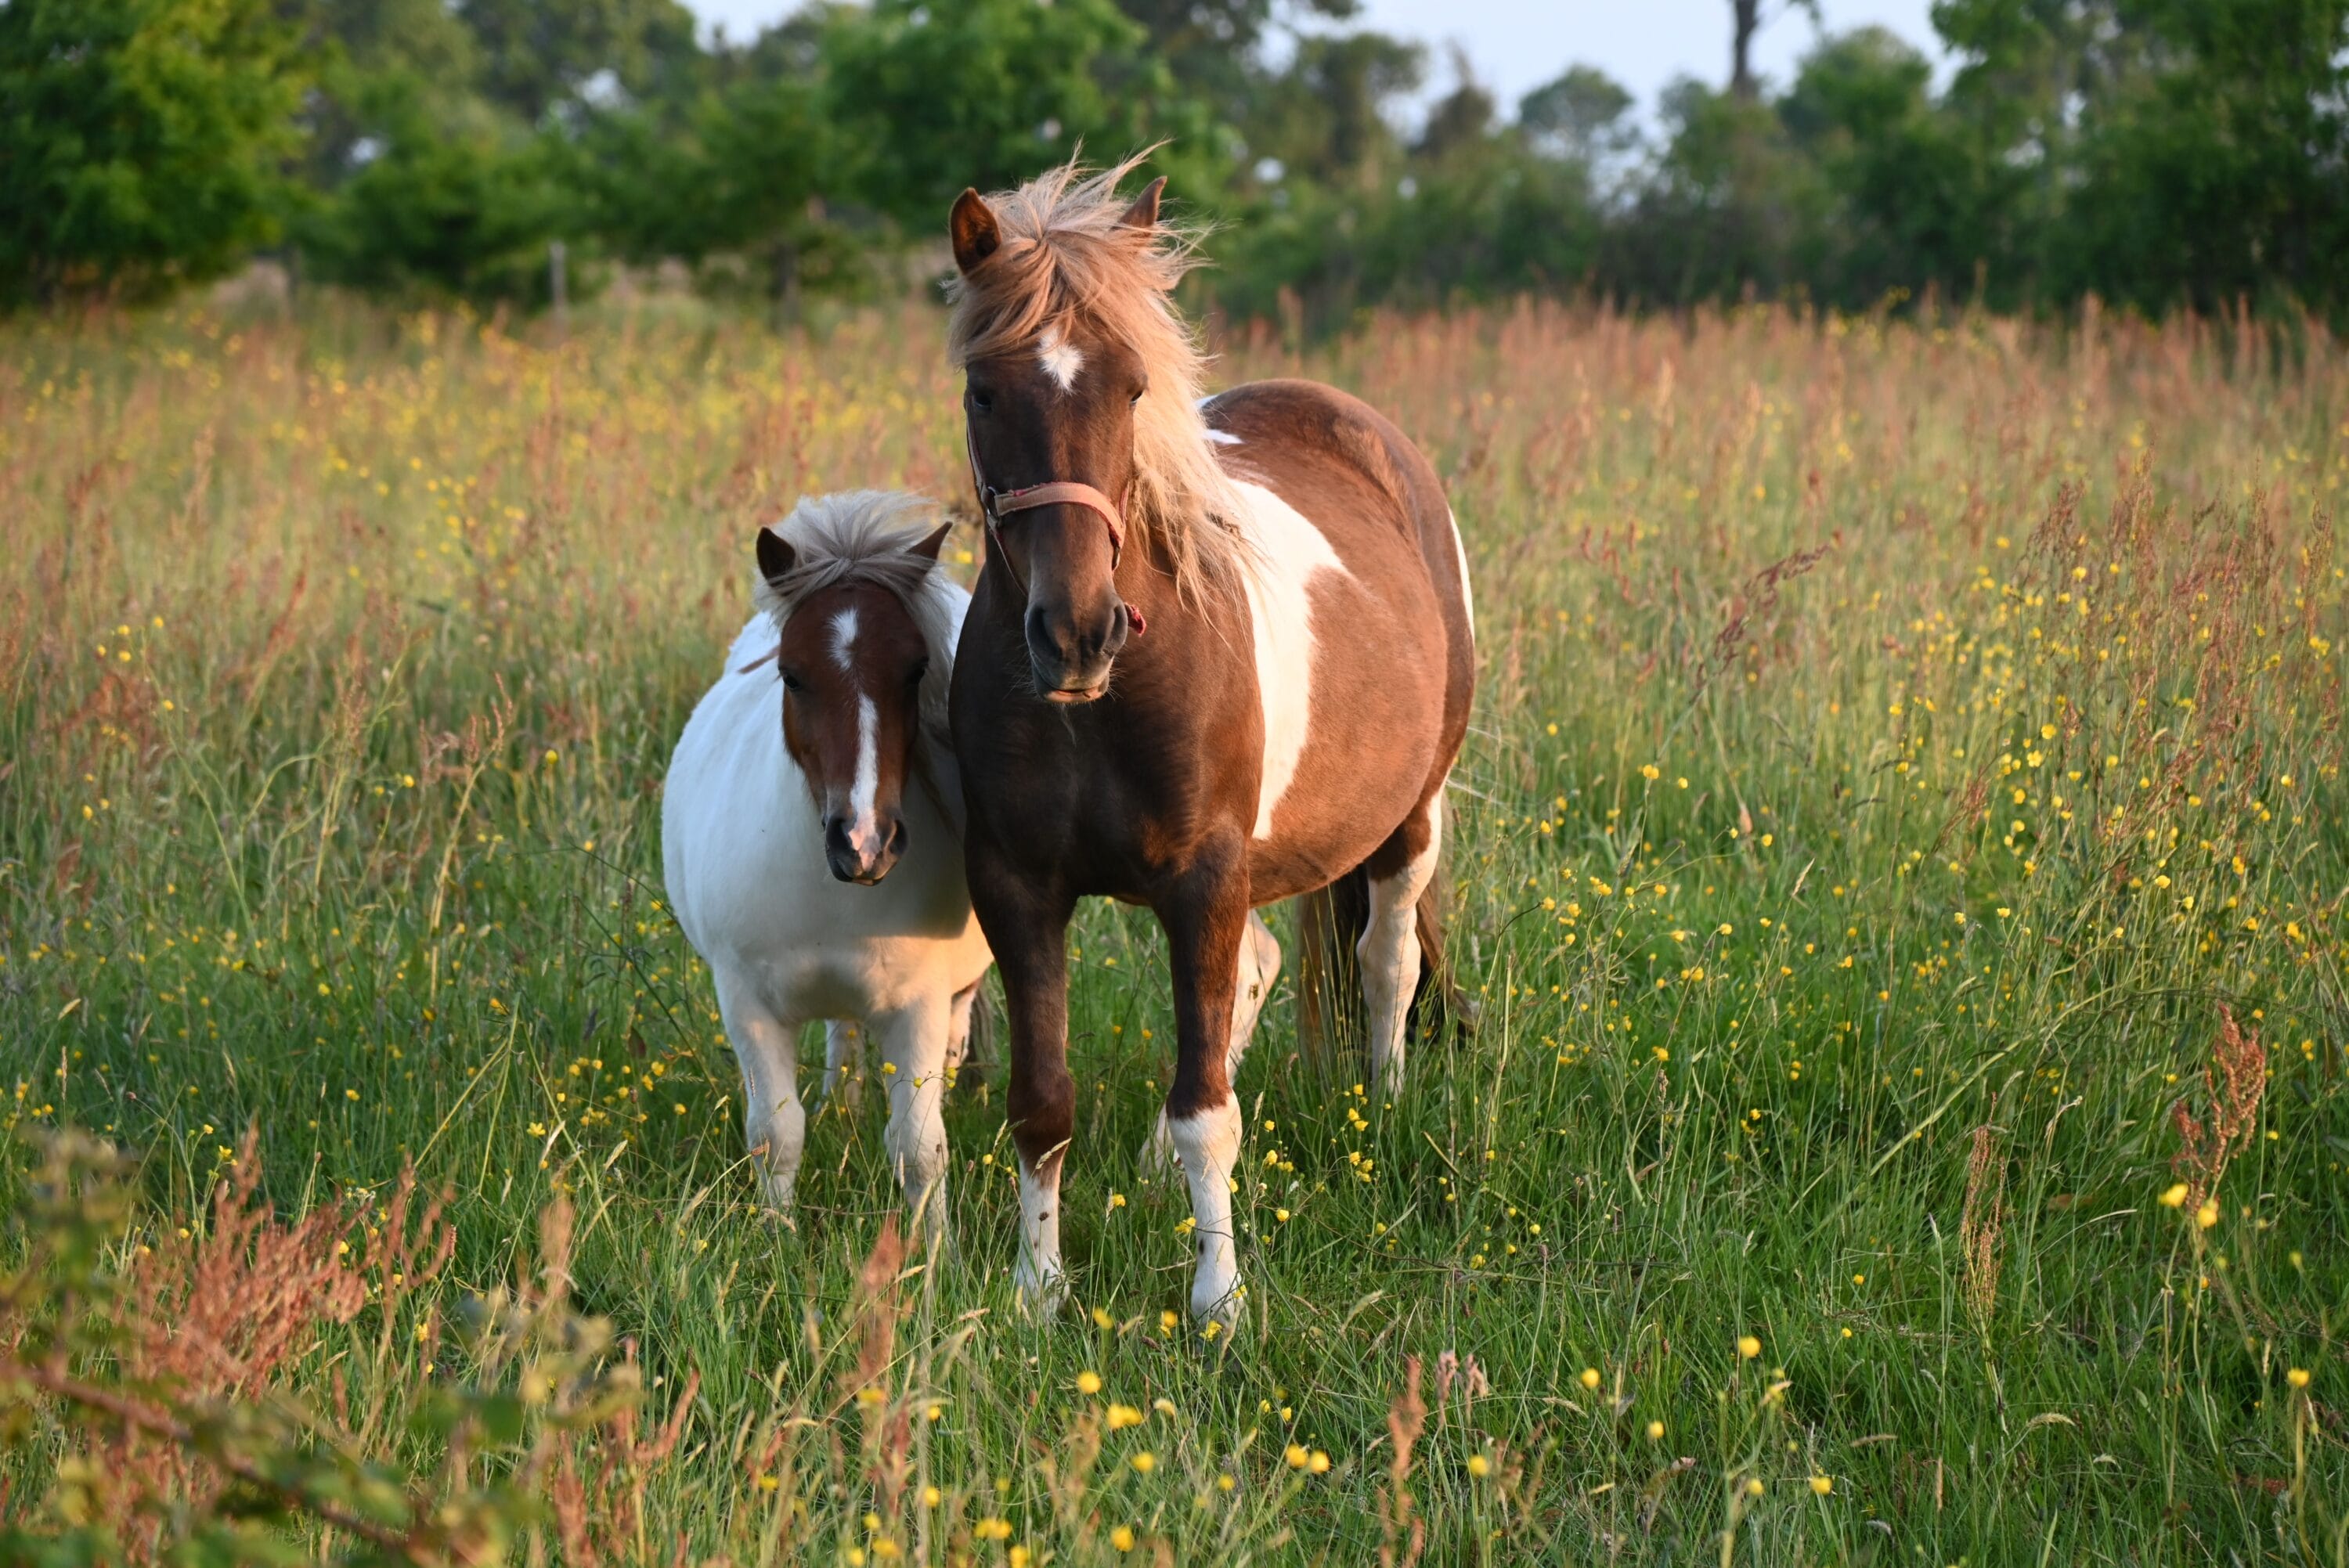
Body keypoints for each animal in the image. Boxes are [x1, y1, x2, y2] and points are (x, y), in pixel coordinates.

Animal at [663, 491, 994, 1253]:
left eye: (917, 668)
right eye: (792, 673)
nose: (864, 842)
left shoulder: (917, 1006)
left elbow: (918, 1145)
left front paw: (933, 1255)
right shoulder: (747, 1004)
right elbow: (776, 1134)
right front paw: (776, 1242)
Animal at [942, 160, 1475, 1331]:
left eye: (1135, 387)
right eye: (983, 391)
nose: (1076, 632)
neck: (1103, 701)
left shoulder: (1202, 878)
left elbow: (1209, 1112)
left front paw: (1218, 1299)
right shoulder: (1019, 887)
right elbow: (1043, 1100)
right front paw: (1038, 1290)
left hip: (1409, 816)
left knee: (1387, 957)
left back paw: (1385, 1104)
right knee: (1262, 972)